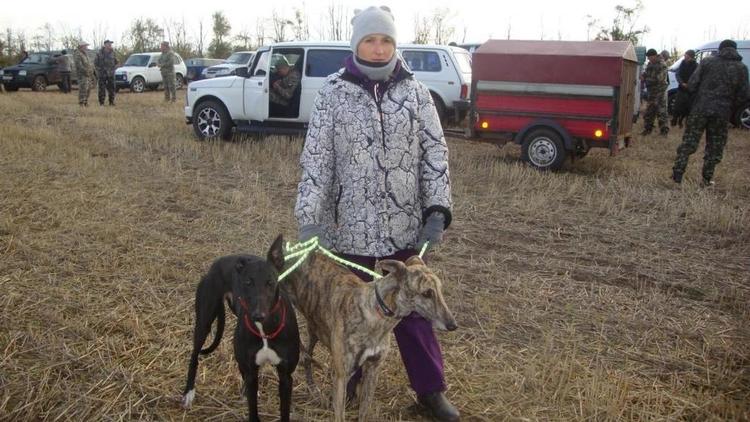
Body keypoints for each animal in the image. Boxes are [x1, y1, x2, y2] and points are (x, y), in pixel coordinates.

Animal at [181, 236, 302, 422]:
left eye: (271, 282)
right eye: (248, 282)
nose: (258, 315)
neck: (264, 331)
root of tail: (217, 264)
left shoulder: (286, 376)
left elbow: (284, 412)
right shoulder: (252, 372)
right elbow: (253, 412)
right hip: (204, 322)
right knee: (194, 356)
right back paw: (189, 392)